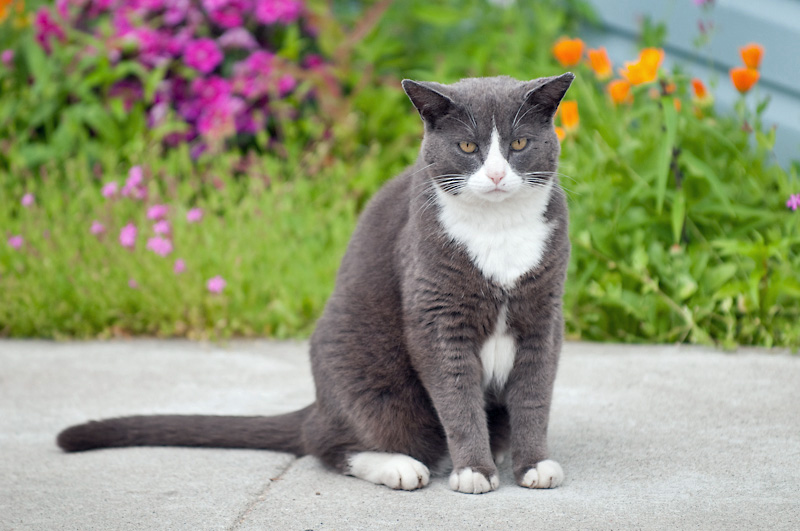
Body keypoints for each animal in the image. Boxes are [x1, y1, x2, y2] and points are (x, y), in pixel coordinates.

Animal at [59, 72, 580, 496]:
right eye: (468, 148)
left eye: (519, 144)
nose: (495, 175)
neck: (498, 228)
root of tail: (318, 405)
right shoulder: (437, 314)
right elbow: (457, 395)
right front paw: (474, 471)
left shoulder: (544, 313)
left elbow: (534, 394)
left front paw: (533, 465)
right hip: (370, 379)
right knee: (329, 443)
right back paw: (399, 467)